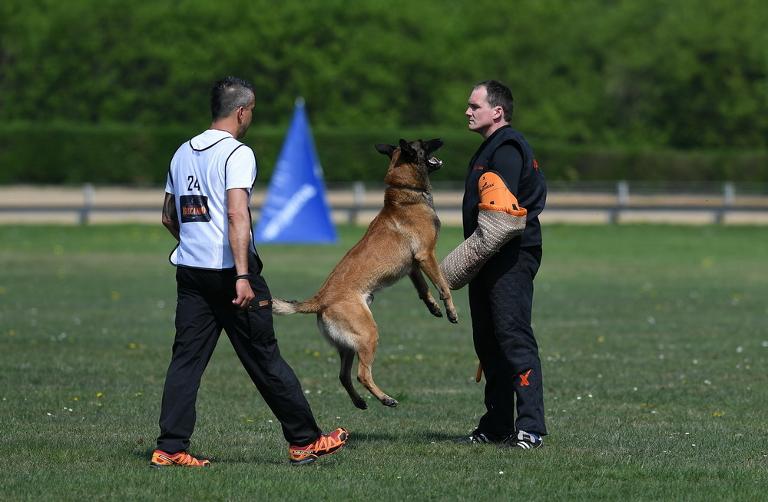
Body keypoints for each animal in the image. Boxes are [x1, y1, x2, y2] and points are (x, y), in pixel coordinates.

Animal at [272, 137, 456, 408]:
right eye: (423, 143)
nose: (440, 138)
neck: (405, 192)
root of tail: (319, 300)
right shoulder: (426, 255)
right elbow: (442, 284)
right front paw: (451, 311)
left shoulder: (413, 267)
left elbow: (423, 289)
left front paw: (433, 307)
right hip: (369, 334)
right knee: (362, 374)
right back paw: (386, 398)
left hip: (348, 345)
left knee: (343, 375)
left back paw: (360, 401)